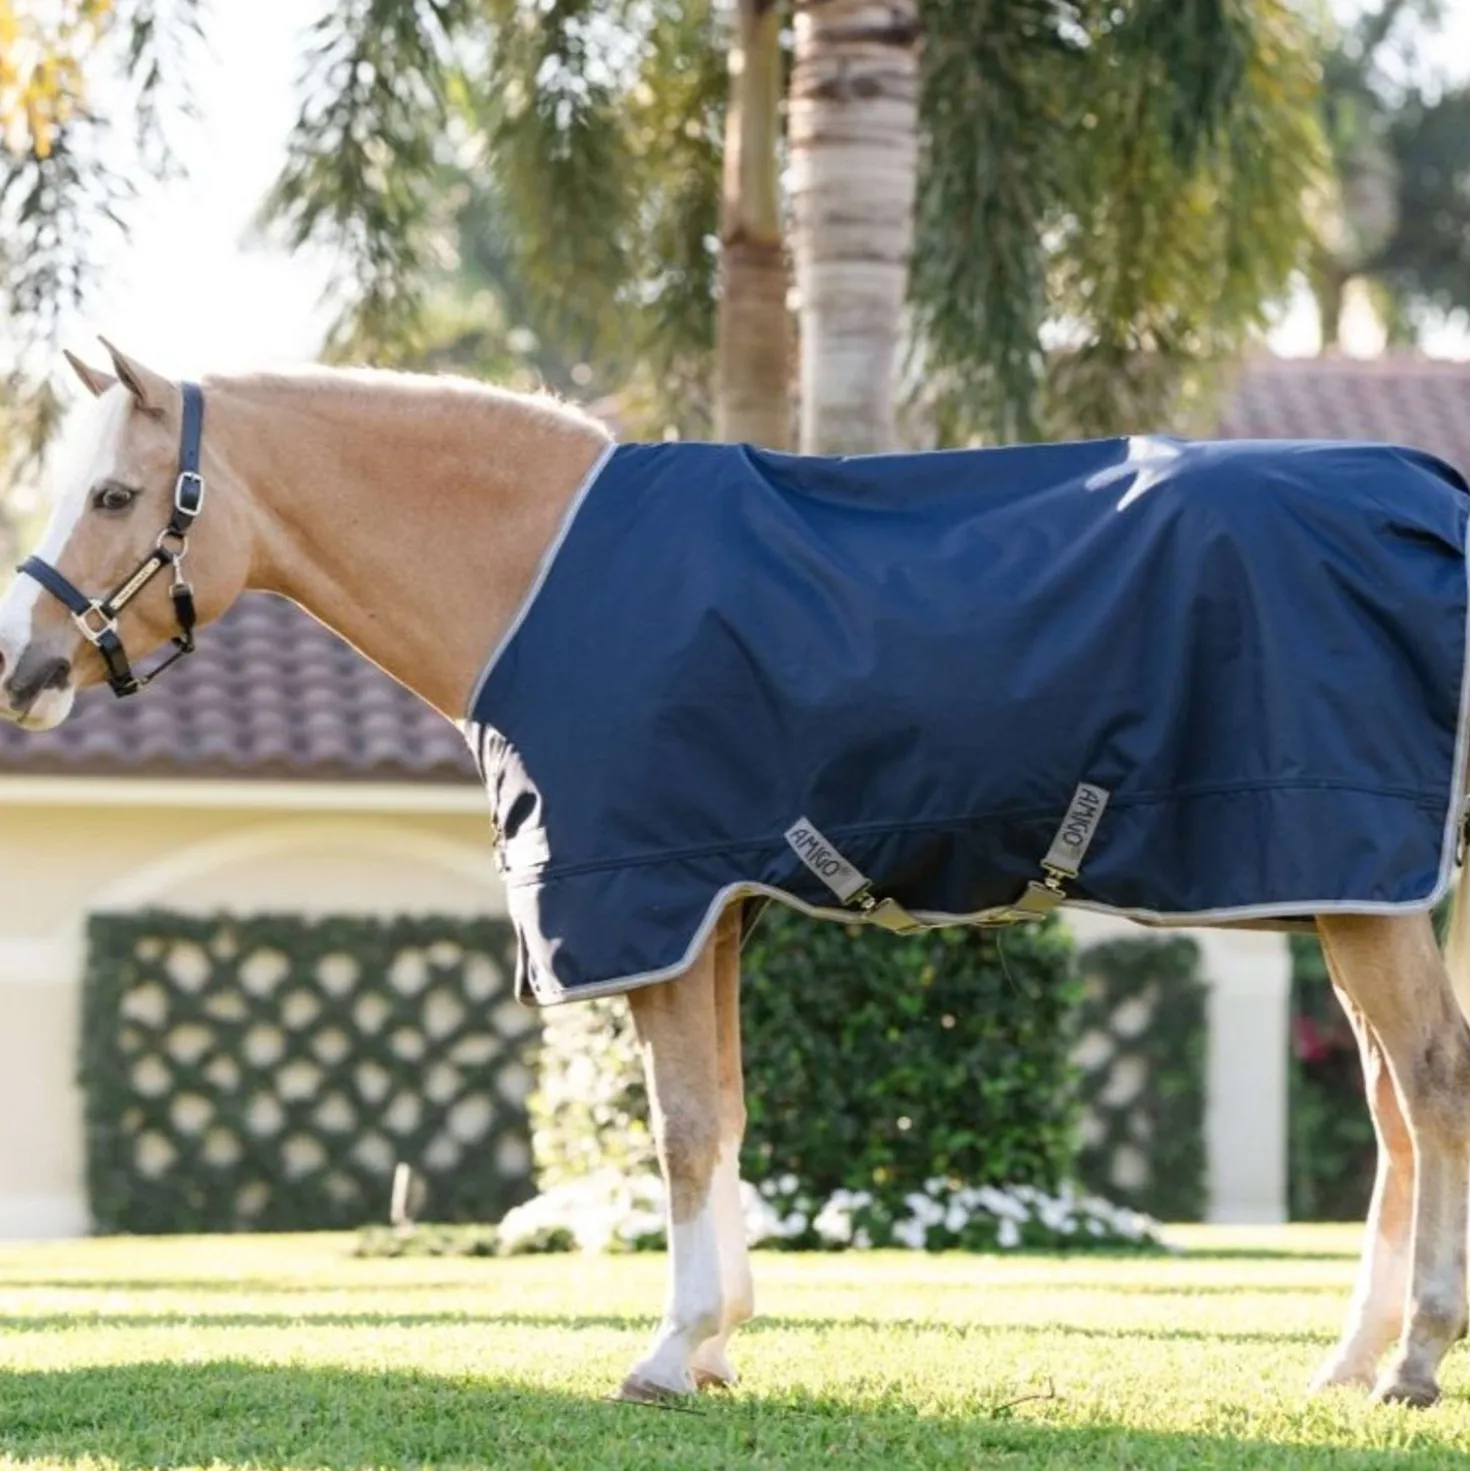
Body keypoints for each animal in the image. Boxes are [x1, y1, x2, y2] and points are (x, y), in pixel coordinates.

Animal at [1, 341, 1468, 1409]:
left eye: (116, 496)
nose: (23, 675)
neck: (536, 567)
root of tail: (1432, 501)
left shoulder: (649, 899)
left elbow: (683, 1127)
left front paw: (669, 1352)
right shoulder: (709, 915)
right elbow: (728, 1118)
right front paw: (715, 1344)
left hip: (1357, 887)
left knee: (1431, 1086)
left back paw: (1410, 1360)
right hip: (1361, 893)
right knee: (1393, 1109)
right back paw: (1346, 1362)